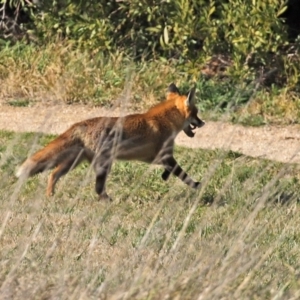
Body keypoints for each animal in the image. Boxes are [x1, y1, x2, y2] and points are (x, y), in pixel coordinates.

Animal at [15, 82, 204, 199]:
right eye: (196, 113)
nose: (203, 123)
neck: (164, 121)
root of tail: (78, 124)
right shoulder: (164, 156)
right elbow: (183, 175)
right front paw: (197, 186)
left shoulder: (157, 158)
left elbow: (169, 171)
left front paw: (165, 177)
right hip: (103, 164)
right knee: (98, 188)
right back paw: (107, 201)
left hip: (73, 162)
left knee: (53, 175)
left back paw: (50, 196)